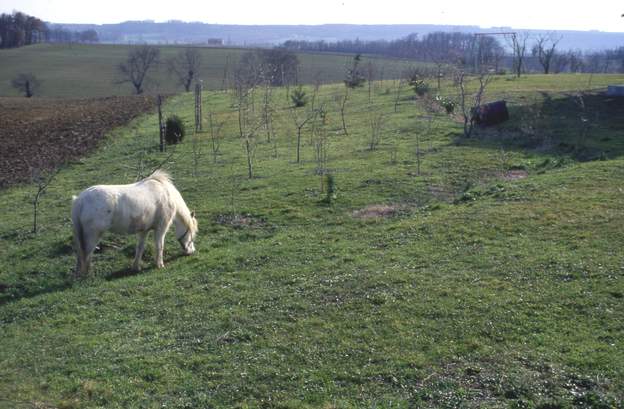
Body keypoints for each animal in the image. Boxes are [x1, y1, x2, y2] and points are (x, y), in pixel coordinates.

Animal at [71, 169, 199, 274]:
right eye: (192, 234)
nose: (191, 251)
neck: (166, 193)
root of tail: (79, 200)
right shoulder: (161, 228)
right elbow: (159, 246)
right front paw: (160, 265)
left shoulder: (144, 230)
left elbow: (140, 248)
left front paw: (136, 267)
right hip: (92, 236)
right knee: (86, 254)